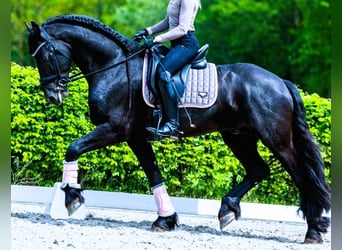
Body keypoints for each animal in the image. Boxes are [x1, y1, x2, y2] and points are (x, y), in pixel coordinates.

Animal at [25, 14, 330, 243]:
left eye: (46, 55)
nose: (52, 96)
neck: (113, 67)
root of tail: (281, 82)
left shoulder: (114, 129)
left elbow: (72, 148)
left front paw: (72, 196)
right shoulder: (136, 137)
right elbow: (154, 175)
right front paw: (166, 220)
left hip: (276, 139)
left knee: (302, 175)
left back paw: (314, 230)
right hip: (238, 136)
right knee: (258, 170)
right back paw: (227, 210)